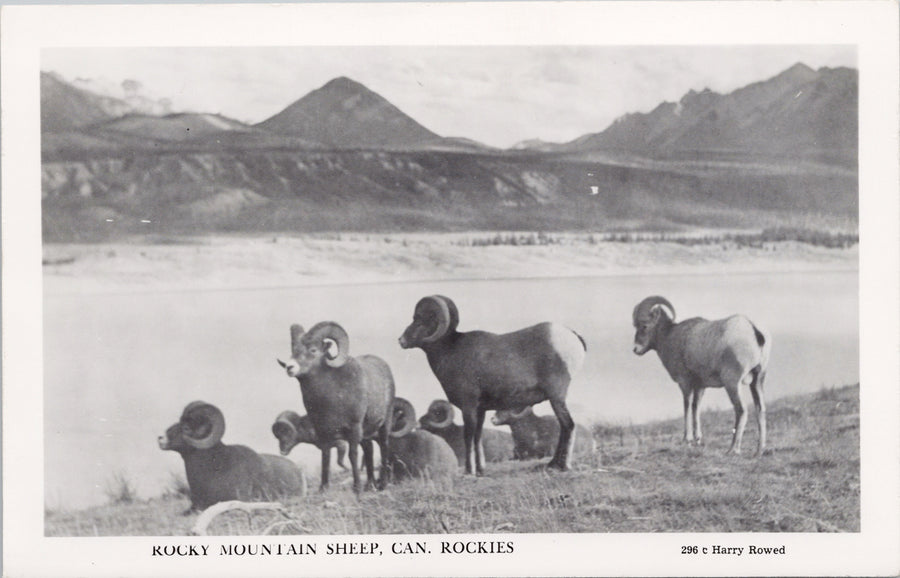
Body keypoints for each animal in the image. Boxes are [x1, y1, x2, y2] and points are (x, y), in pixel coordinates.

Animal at [276, 320, 396, 490]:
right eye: (293, 350)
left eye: (313, 350)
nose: (290, 367)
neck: (331, 398)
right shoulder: (323, 432)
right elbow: (326, 456)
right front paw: (323, 488)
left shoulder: (353, 430)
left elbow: (352, 455)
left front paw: (356, 488)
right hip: (365, 433)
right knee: (369, 450)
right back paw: (369, 485)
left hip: (384, 423)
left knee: (384, 446)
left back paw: (382, 485)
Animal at [400, 294, 584, 470]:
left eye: (419, 319)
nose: (401, 340)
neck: (450, 351)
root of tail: (572, 336)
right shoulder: (480, 410)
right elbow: (477, 437)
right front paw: (481, 470)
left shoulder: (469, 406)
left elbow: (468, 437)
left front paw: (470, 471)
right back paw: (553, 464)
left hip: (556, 396)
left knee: (568, 425)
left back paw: (563, 466)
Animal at [628, 296, 768, 454]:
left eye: (644, 326)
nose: (636, 349)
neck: (670, 337)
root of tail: (754, 331)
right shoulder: (700, 386)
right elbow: (696, 407)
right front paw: (697, 440)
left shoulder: (685, 383)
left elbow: (687, 406)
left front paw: (687, 440)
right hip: (757, 381)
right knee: (760, 409)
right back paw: (759, 450)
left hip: (732, 383)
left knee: (741, 410)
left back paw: (733, 449)